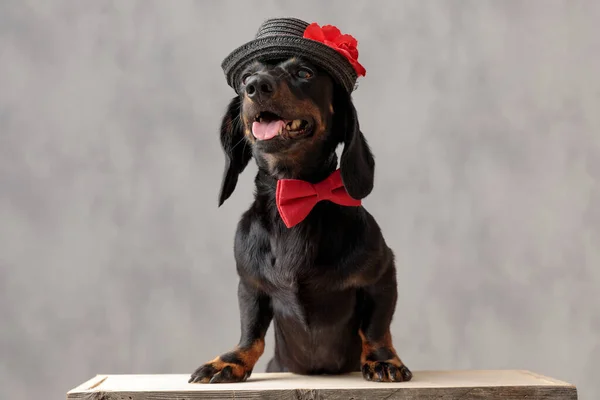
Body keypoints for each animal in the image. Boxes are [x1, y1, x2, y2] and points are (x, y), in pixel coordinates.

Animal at [189, 54, 412, 384]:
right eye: (245, 78)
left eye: (304, 72)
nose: (256, 86)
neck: (296, 197)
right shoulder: (250, 286)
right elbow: (251, 331)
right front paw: (231, 361)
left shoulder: (382, 276)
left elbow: (375, 327)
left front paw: (383, 360)